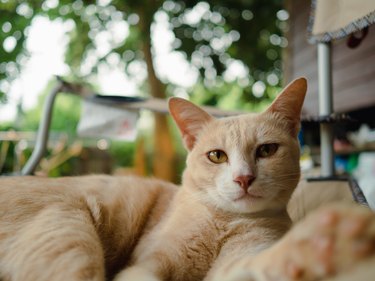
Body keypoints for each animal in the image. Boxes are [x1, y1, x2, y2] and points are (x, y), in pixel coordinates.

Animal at [0, 77, 375, 280]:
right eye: (217, 156)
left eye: (267, 150)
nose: (243, 178)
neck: (223, 221)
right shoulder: (147, 263)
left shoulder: (237, 260)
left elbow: (255, 264)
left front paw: (318, 248)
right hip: (68, 228)